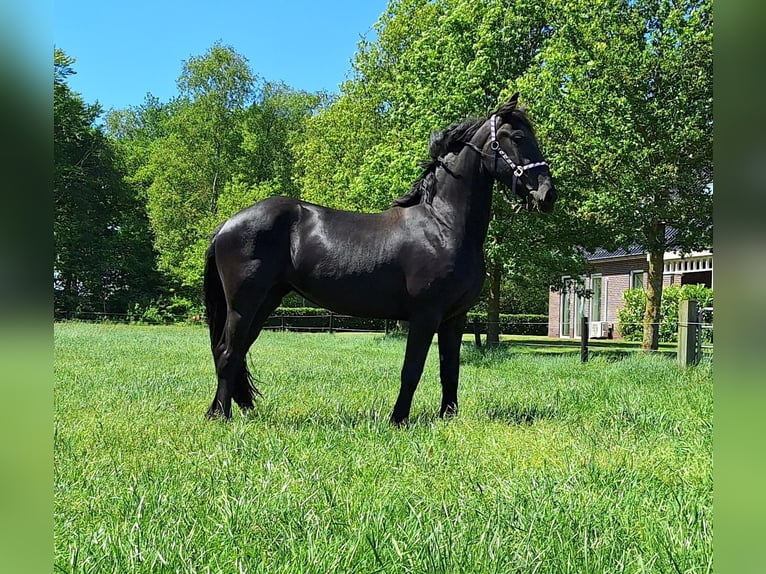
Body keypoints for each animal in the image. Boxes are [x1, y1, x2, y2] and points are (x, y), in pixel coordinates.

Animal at [204, 94, 560, 426]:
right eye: (517, 137)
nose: (547, 195)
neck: (443, 224)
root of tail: (226, 225)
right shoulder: (425, 315)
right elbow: (412, 369)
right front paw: (398, 419)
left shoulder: (454, 318)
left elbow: (450, 369)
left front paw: (448, 417)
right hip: (244, 306)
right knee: (228, 353)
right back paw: (221, 415)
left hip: (265, 303)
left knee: (234, 353)